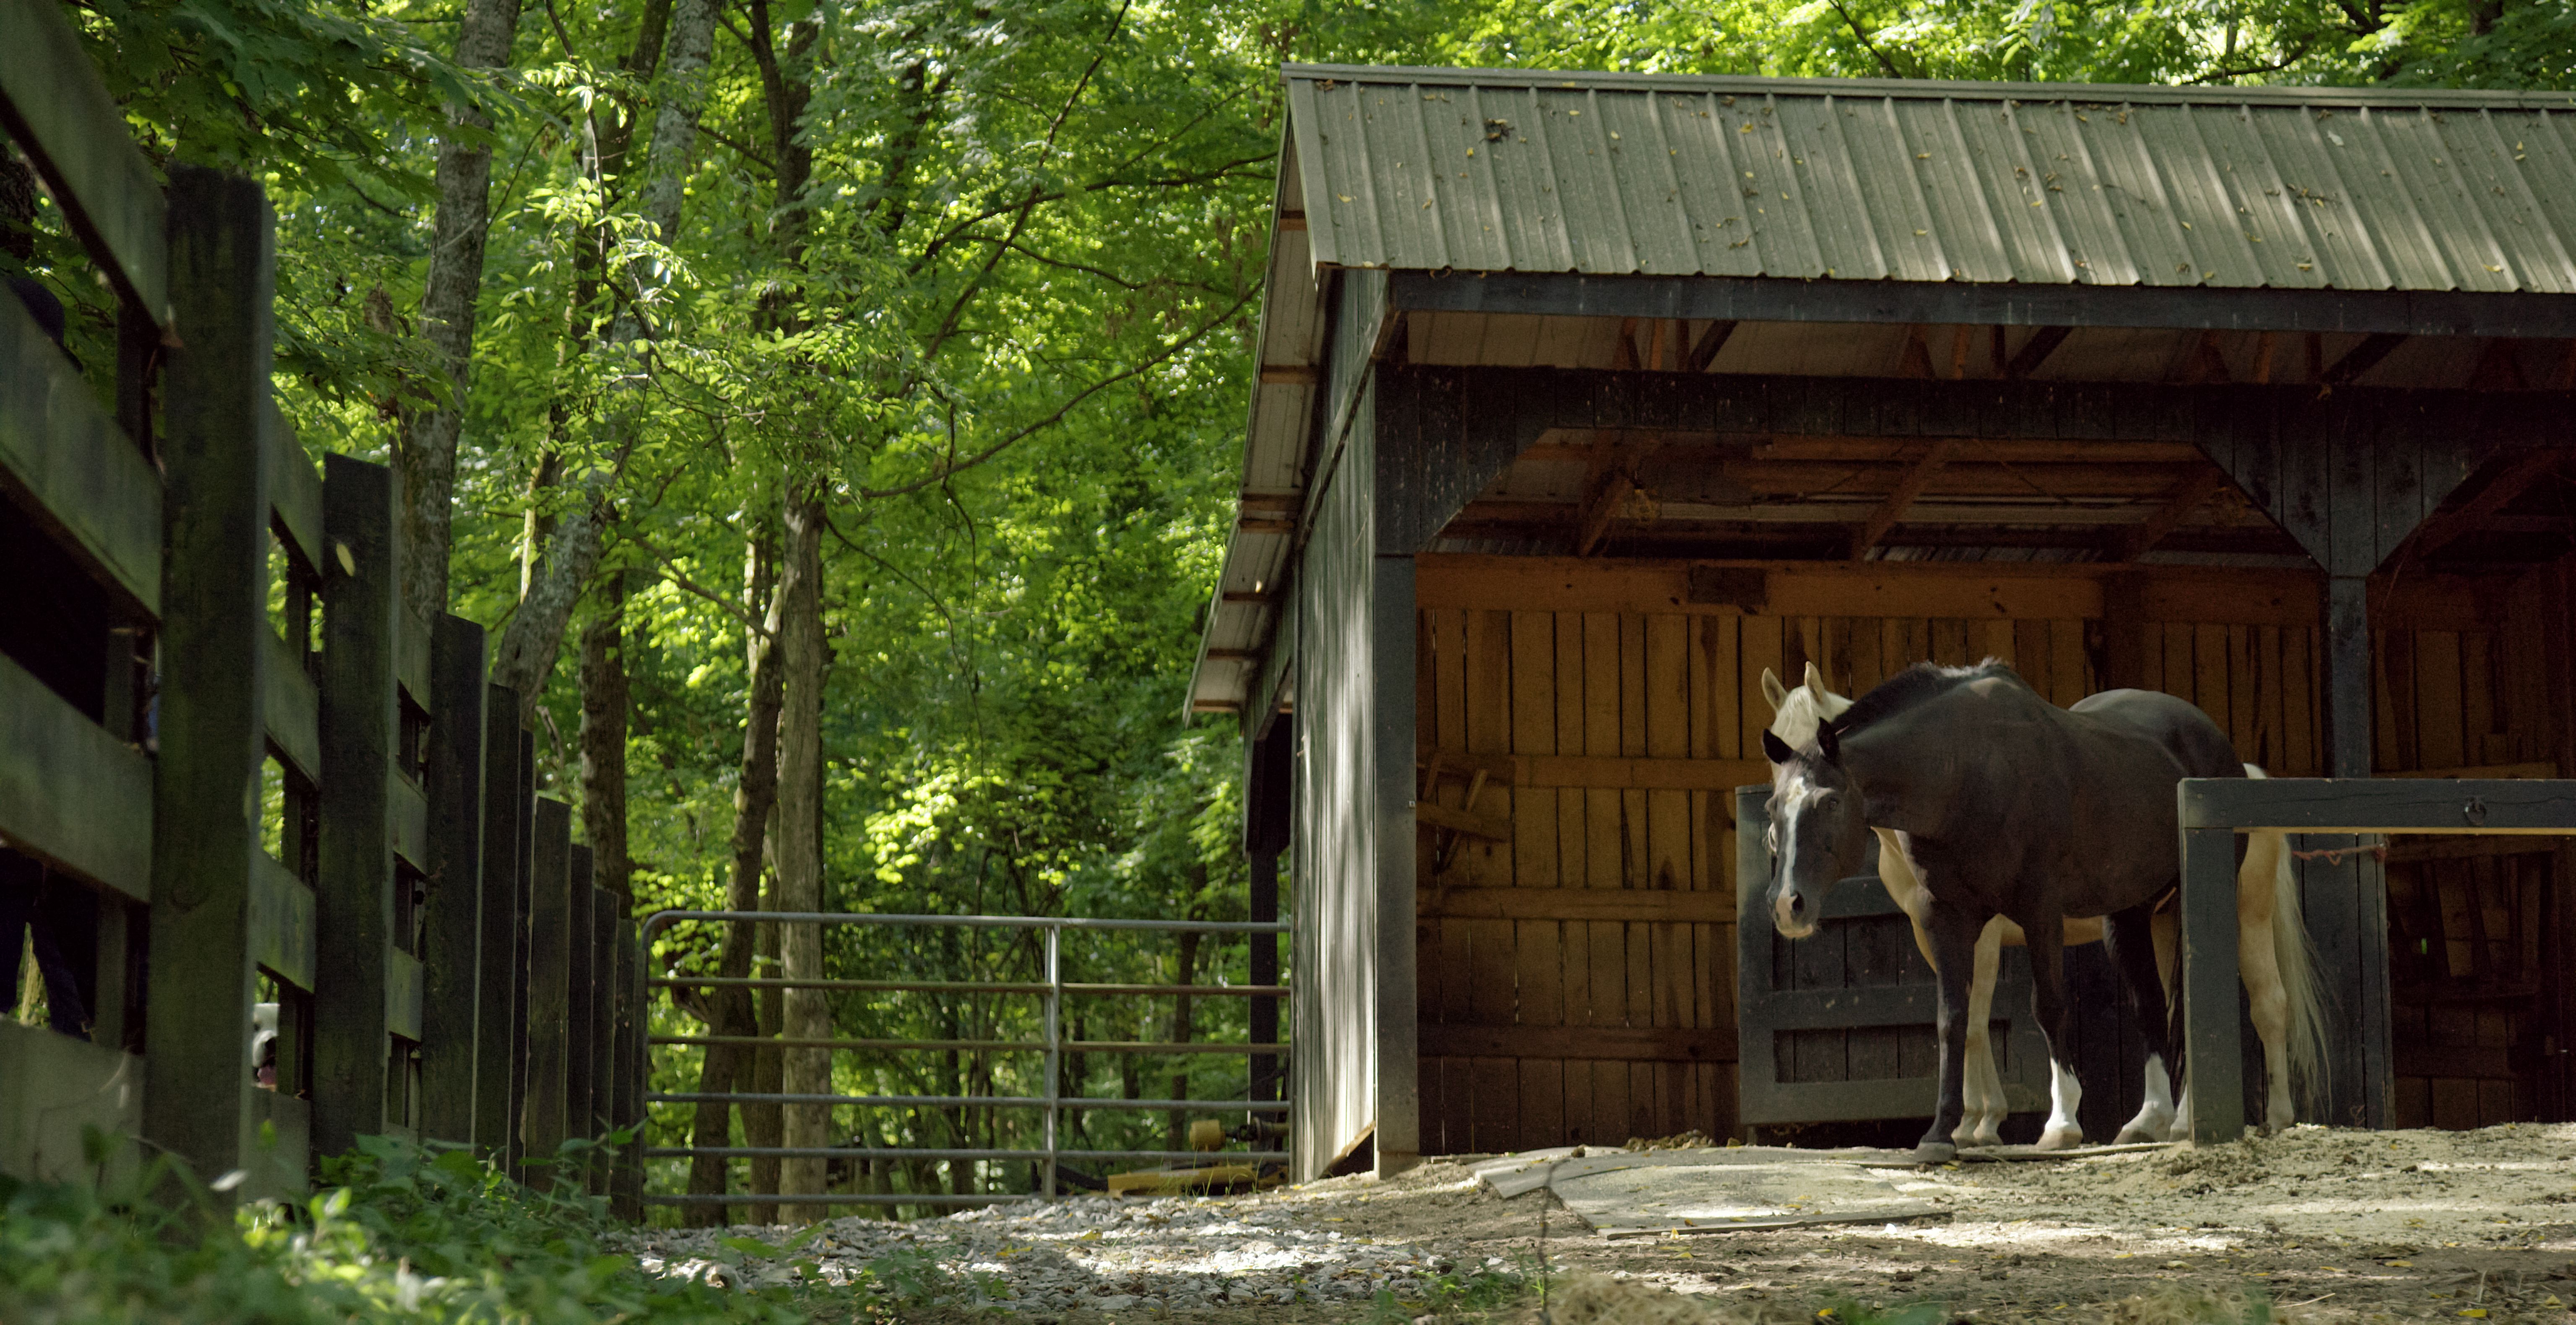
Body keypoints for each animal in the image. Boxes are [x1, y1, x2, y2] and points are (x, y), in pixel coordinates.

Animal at [1758, 660, 2317, 1161]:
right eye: (1773, 804)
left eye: (1830, 802)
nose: (1788, 905)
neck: (1966, 768)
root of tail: (2239, 767)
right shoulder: (1943, 918)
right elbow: (1953, 1019)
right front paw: (1943, 1131)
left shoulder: (2033, 910)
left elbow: (2039, 1007)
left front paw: (2049, 1123)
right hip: (2137, 915)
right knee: (2157, 1003)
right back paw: (2154, 1119)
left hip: (2231, 912)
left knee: (2258, 1003)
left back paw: (2263, 1117)